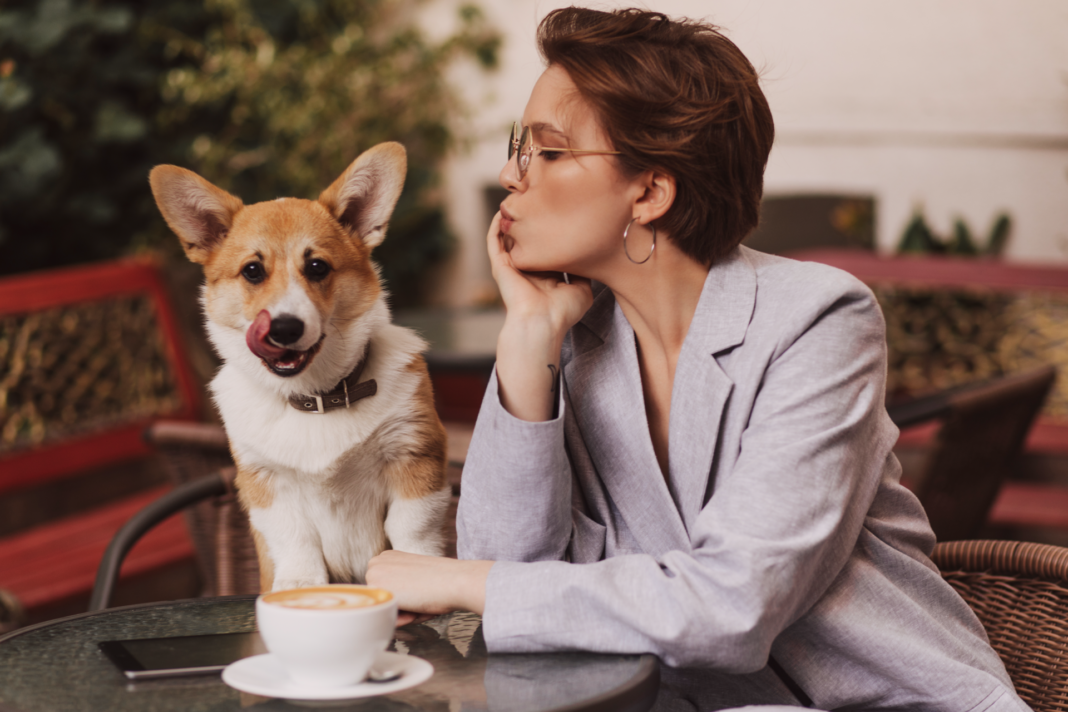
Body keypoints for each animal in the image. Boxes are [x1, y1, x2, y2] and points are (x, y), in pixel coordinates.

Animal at [150, 143, 450, 589]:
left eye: (317, 267)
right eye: (252, 271)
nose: (284, 328)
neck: (317, 396)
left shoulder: (415, 455)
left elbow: (413, 531)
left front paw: (418, 573)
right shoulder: (265, 482)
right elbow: (295, 543)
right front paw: (299, 590)